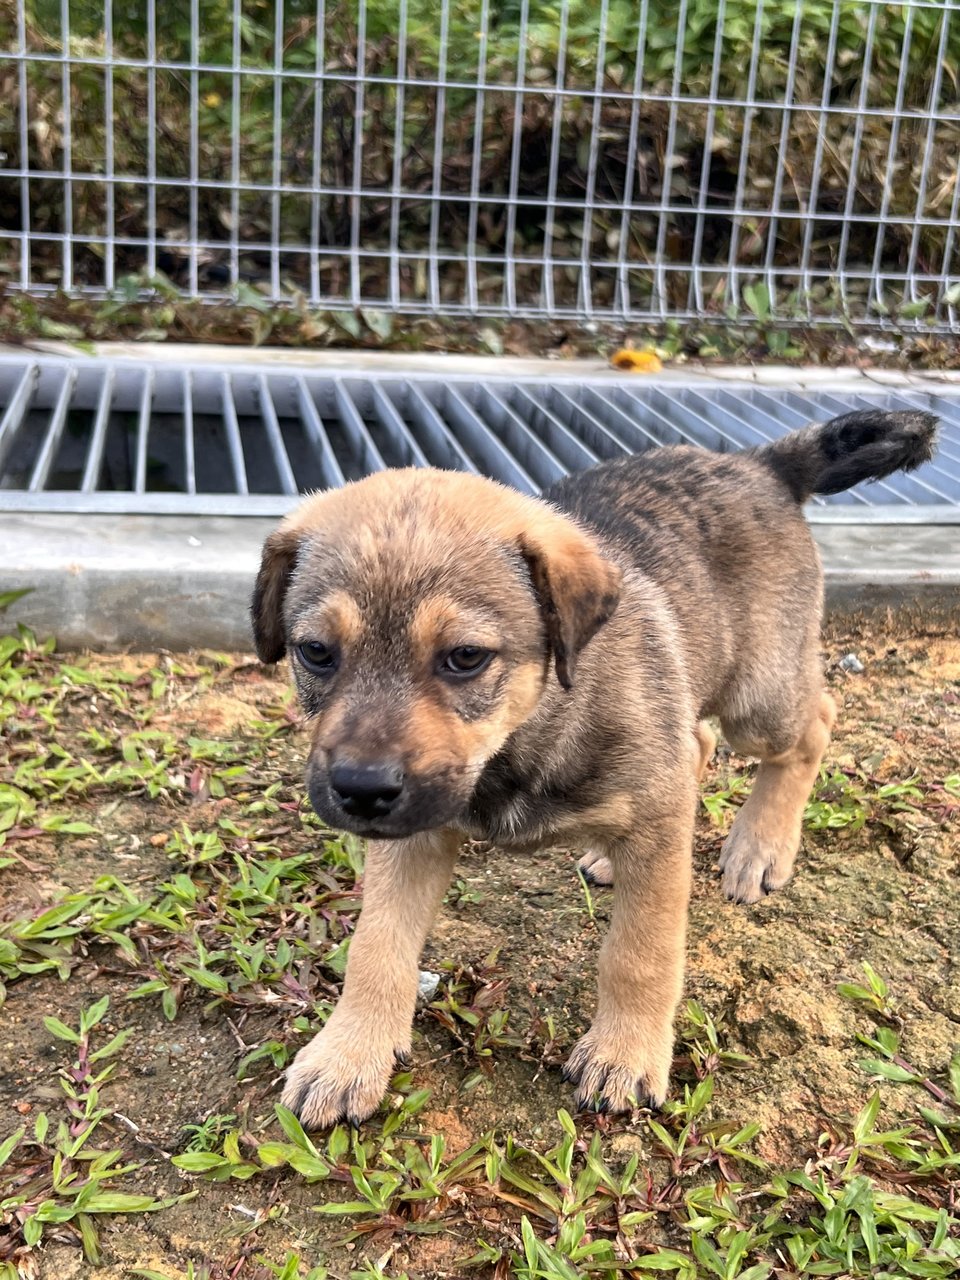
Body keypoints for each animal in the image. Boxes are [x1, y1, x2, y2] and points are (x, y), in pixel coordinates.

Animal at [253, 404, 942, 1126]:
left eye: (465, 658)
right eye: (316, 652)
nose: (359, 791)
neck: (525, 734)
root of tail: (761, 463)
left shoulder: (651, 821)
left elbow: (641, 952)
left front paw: (625, 1051)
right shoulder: (412, 834)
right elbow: (377, 946)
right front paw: (348, 1054)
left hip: (760, 698)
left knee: (815, 723)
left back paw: (760, 847)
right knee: (697, 744)